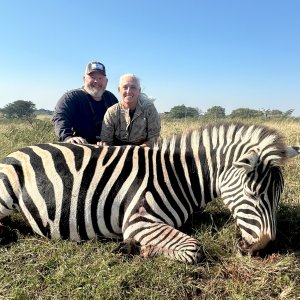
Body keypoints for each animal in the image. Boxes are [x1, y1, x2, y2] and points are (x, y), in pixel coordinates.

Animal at [0, 122, 298, 262]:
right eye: (253, 194)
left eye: (277, 197)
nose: (262, 249)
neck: (179, 176)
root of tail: (19, 150)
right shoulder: (139, 219)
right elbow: (194, 248)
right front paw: (138, 248)